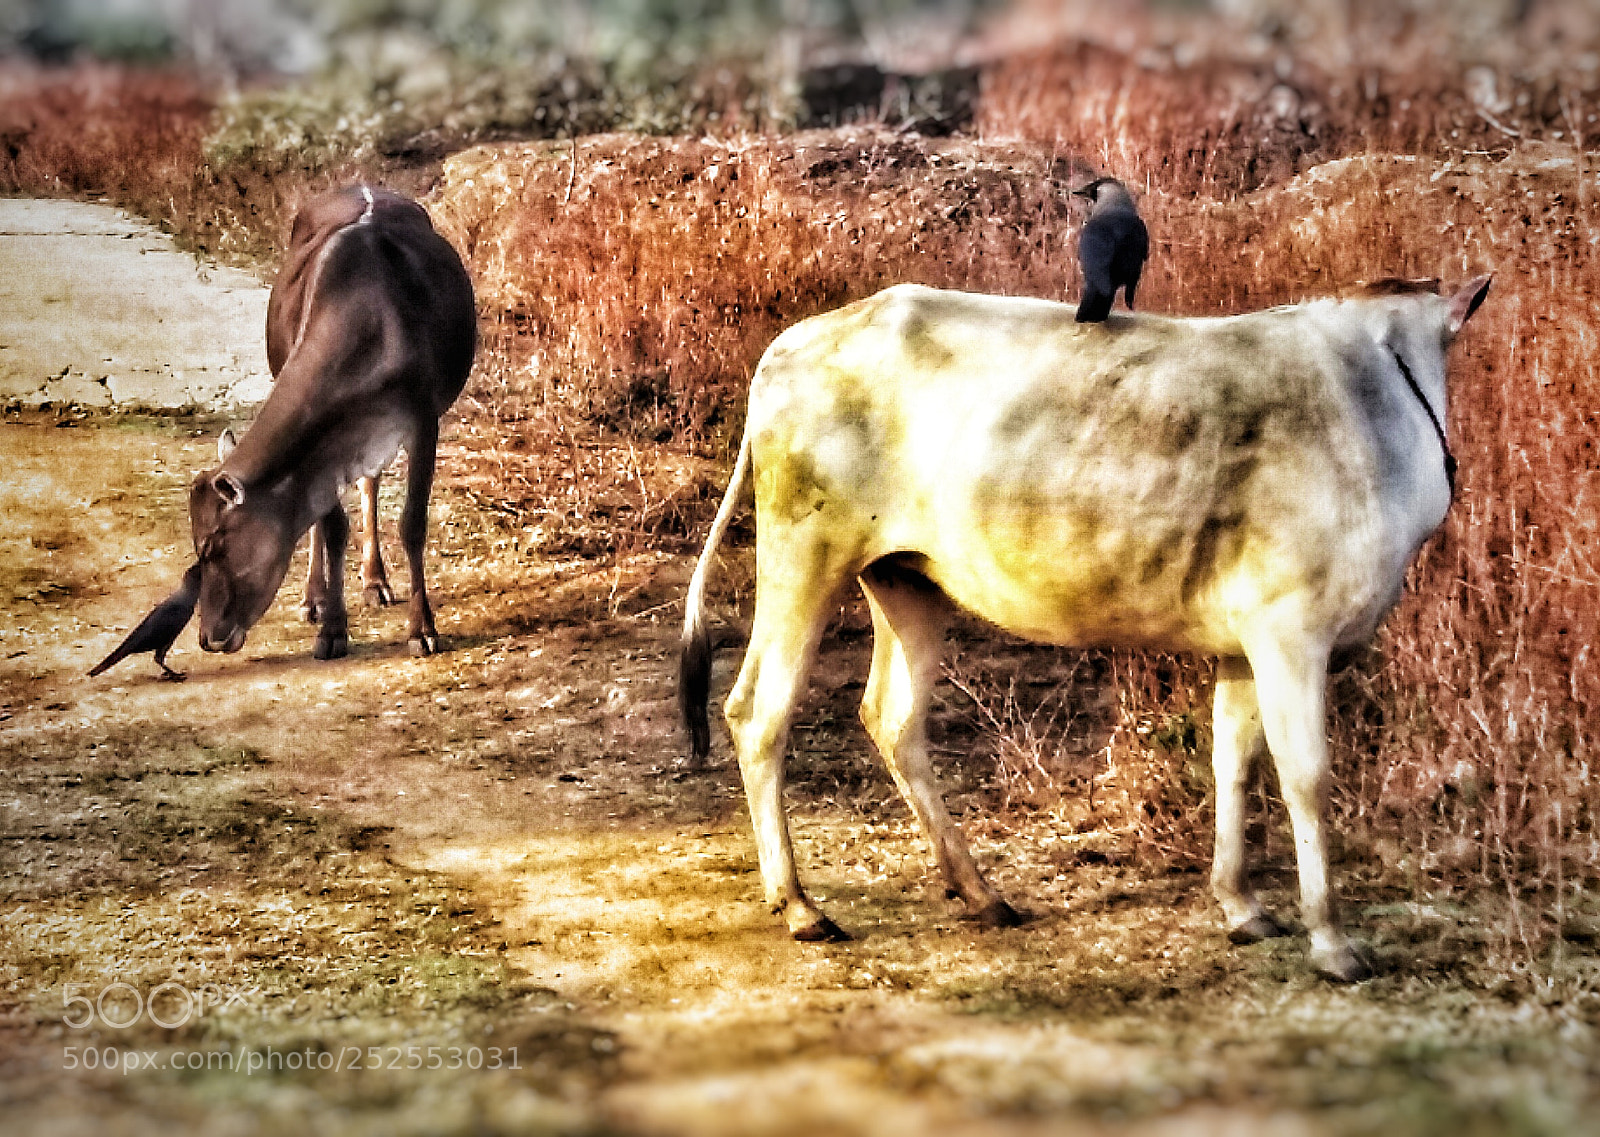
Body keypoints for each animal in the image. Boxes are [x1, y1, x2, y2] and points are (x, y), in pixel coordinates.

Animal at [90, 185, 476, 678]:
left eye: (213, 545)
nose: (208, 636)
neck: (371, 324)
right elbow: (330, 523)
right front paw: (331, 629)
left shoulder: (423, 418)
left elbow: (412, 524)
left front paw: (422, 629)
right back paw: (317, 598)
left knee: (370, 483)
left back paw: (375, 582)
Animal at [680, 276, 1491, 981]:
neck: (1377, 403)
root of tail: (788, 347)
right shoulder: (1294, 631)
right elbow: (1306, 778)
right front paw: (1331, 940)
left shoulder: (1244, 642)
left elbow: (1233, 759)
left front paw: (1242, 905)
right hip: (805, 554)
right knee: (758, 712)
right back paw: (800, 905)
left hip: (907, 578)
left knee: (893, 716)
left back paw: (981, 892)